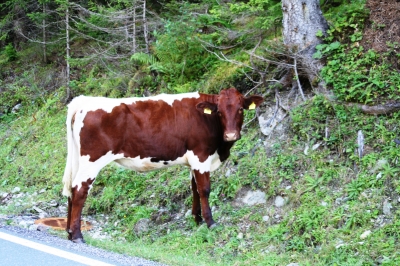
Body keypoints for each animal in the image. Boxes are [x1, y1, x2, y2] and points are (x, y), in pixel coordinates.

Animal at [61, 88, 262, 242]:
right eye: (219, 112)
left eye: (240, 109)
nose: (231, 135)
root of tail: (84, 101)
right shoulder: (201, 156)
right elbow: (204, 189)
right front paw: (210, 223)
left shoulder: (193, 161)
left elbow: (194, 189)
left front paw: (197, 220)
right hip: (92, 160)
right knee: (79, 190)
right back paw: (77, 235)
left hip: (78, 159)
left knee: (71, 189)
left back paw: (69, 232)